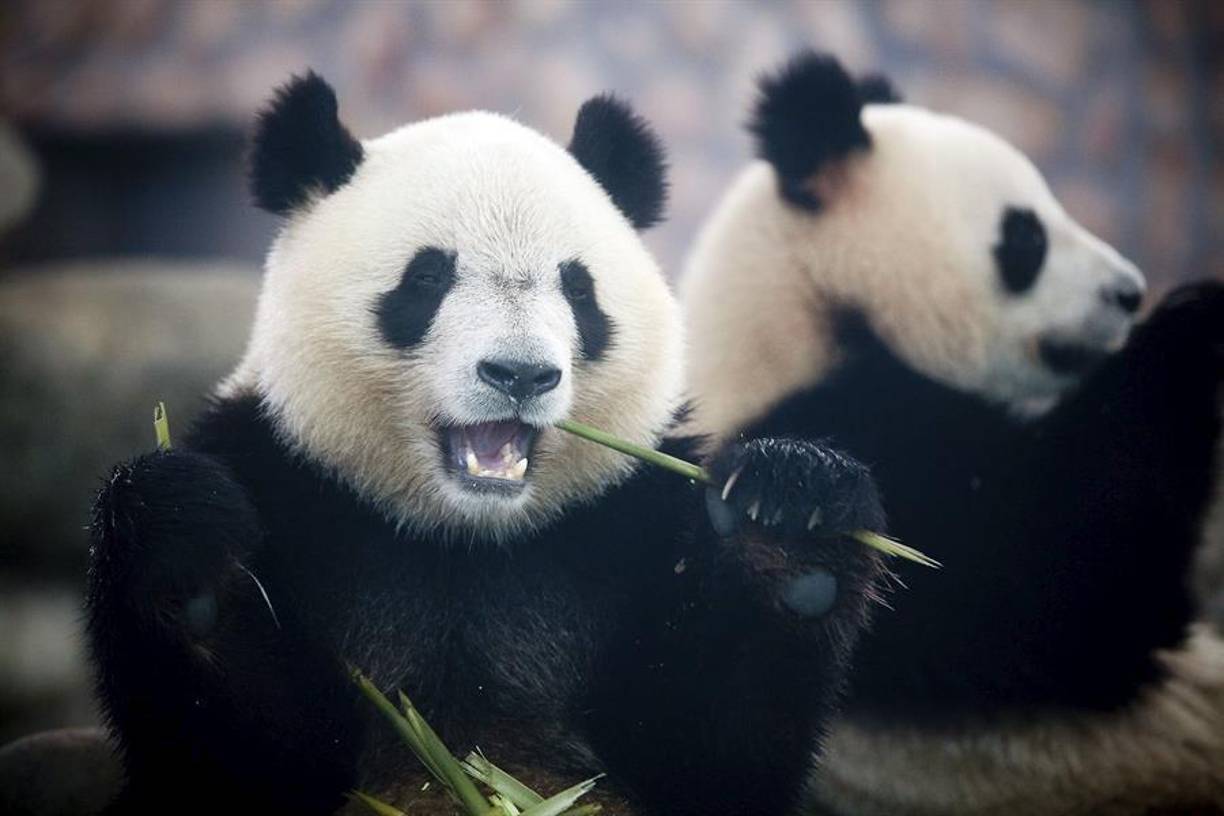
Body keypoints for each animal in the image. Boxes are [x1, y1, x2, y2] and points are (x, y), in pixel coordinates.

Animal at [84, 71, 893, 816]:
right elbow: (241, 751)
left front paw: (790, 522)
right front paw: (187, 555)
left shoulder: (631, 515)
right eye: (427, 277)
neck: (467, 533)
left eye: (578, 289)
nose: (520, 373)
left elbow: (708, 750)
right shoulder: (286, 478)